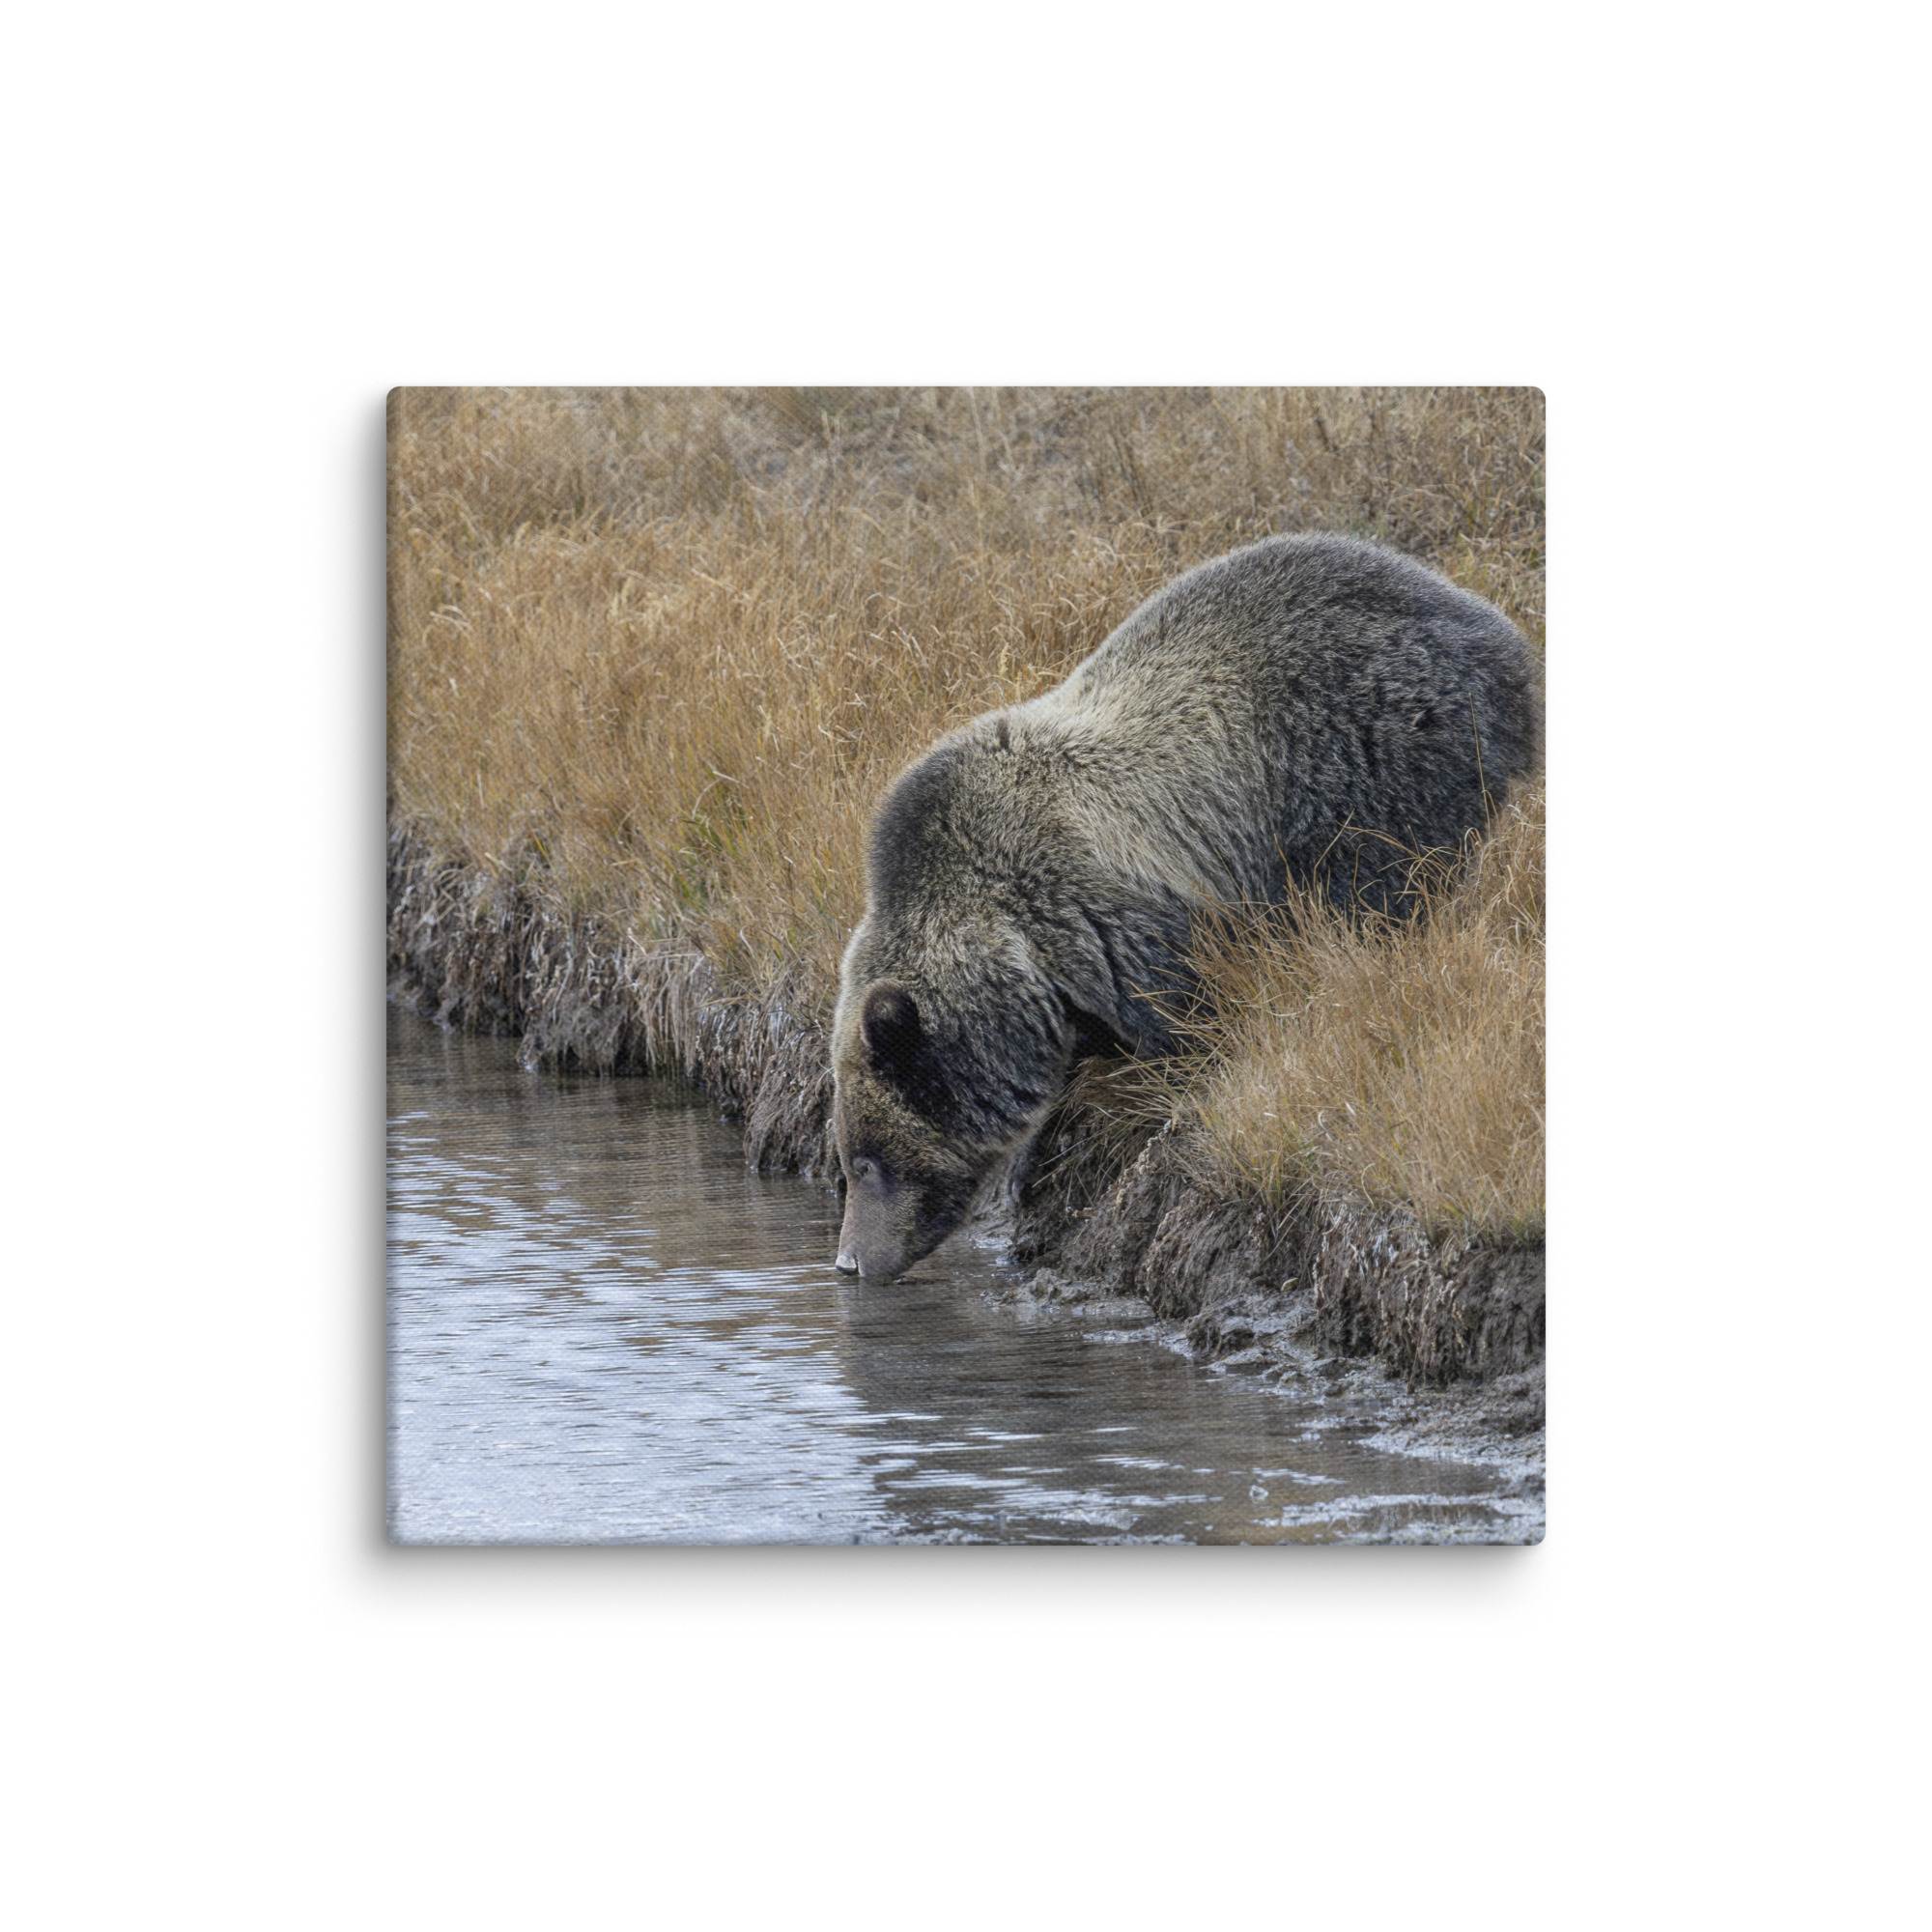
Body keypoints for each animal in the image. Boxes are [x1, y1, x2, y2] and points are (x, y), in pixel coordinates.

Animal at [830, 533, 1540, 1281]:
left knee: (1382, 887)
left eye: (867, 1162)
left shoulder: (1112, 920)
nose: (849, 1261)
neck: (1021, 955)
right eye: (848, 1160)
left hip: (1371, 756)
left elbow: (1186, 1021)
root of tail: (1494, 626)